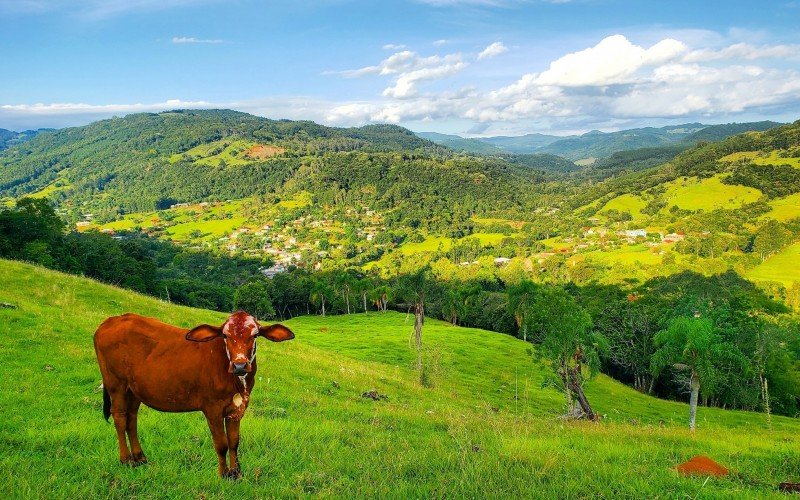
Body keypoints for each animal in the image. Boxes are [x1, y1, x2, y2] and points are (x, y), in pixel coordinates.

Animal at [94, 310, 294, 478]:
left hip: (133, 390)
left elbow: (234, 441)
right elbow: (221, 444)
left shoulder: (236, 409)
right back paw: (126, 460)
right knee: (119, 417)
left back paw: (139, 458)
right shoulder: (212, 408)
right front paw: (224, 474)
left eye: (255, 335)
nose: (239, 365)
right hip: (116, 384)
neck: (238, 384)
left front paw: (237, 473)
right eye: (225, 335)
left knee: (131, 418)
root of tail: (113, 320)